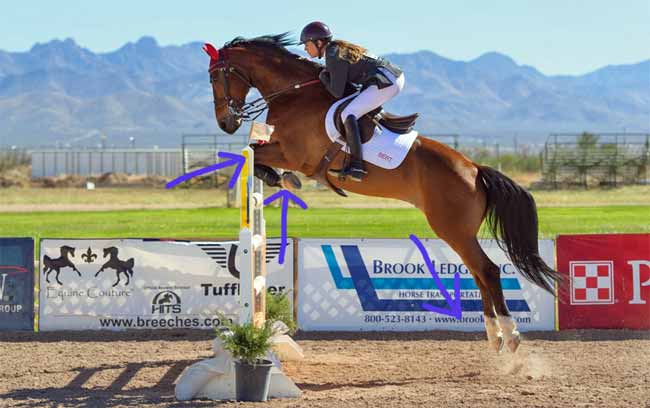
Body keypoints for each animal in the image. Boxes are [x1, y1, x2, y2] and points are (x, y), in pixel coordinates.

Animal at [204, 33, 556, 352]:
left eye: (215, 77)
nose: (225, 123)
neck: (293, 96)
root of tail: (474, 170)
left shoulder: (294, 154)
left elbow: (254, 151)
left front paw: (282, 178)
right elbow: (255, 151)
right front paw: (279, 178)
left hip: (453, 229)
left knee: (488, 271)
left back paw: (510, 335)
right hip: (459, 233)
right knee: (479, 274)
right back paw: (494, 337)